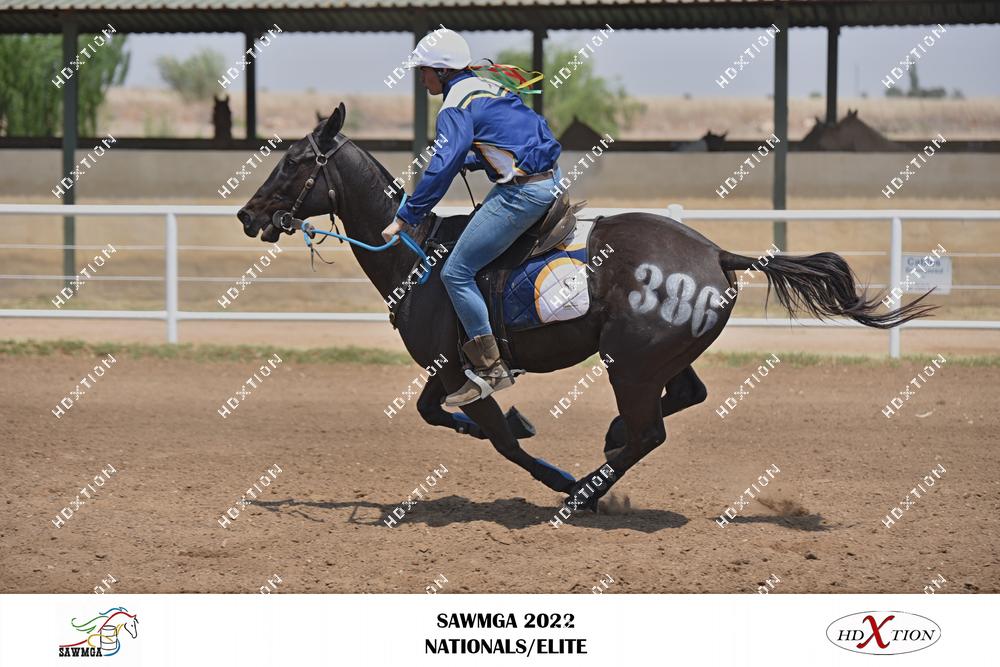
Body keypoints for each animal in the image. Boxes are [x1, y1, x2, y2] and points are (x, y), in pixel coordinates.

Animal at [237, 102, 933, 512]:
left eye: (293, 161)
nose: (247, 214)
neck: (418, 256)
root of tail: (717, 252)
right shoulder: (452, 374)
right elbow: (457, 422)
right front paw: (529, 433)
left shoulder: (457, 369)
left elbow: (485, 434)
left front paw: (555, 473)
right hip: (655, 357)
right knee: (683, 398)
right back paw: (610, 441)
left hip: (631, 363)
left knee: (652, 431)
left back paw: (586, 492)